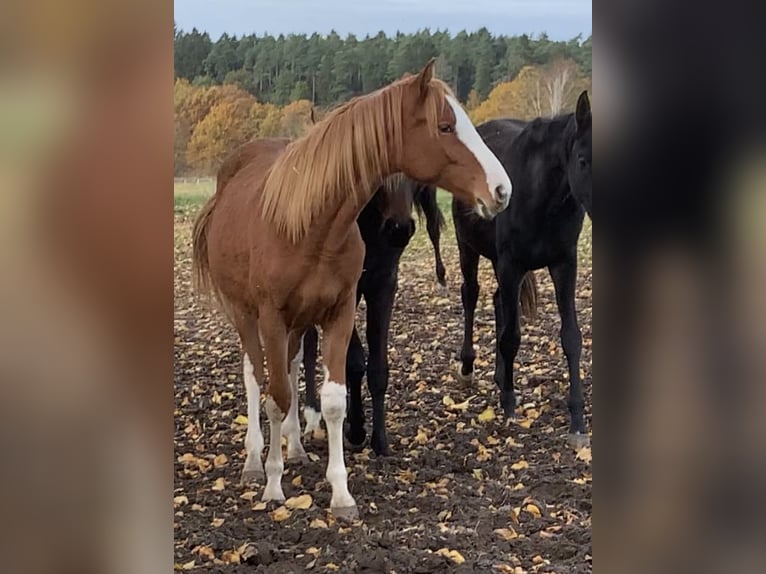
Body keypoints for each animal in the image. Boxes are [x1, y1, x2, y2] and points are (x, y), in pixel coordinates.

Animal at [302, 174, 446, 457]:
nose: (399, 229)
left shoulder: (384, 285)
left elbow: (378, 367)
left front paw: (379, 440)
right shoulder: (345, 293)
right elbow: (355, 361)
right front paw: (356, 429)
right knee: (308, 347)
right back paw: (312, 415)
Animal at [452, 90, 592, 448]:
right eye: (582, 160)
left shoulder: (564, 264)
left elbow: (571, 337)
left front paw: (577, 421)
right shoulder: (511, 264)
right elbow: (512, 337)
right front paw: (509, 406)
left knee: (498, 301)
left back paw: (501, 376)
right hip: (468, 247)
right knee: (471, 295)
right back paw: (469, 368)